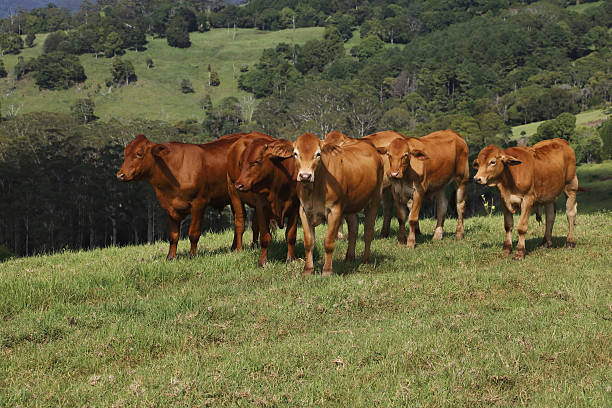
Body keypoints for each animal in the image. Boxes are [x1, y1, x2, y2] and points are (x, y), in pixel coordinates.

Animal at [116, 134, 260, 262]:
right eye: (125, 153)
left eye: (139, 153)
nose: (120, 174)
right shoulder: (170, 207)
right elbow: (173, 236)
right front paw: (170, 257)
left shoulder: (199, 203)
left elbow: (193, 233)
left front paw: (192, 255)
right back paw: (233, 248)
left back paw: (251, 247)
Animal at [227, 135, 298, 268]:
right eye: (240, 164)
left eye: (256, 161)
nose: (239, 185)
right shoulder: (261, 207)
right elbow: (265, 237)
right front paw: (263, 262)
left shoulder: (295, 207)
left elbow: (291, 235)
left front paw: (291, 260)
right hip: (234, 195)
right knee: (240, 223)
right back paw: (238, 250)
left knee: (254, 226)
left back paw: (253, 246)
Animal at [268, 132, 382, 276]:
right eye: (295, 153)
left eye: (318, 154)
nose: (305, 176)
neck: (315, 188)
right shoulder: (304, 211)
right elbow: (308, 242)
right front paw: (308, 269)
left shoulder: (334, 211)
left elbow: (328, 242)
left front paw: (327, 270)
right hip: (350, 206)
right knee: (353, 229)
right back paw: (349, 258)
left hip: (374, 200)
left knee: (368, 231)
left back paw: (366, 261)